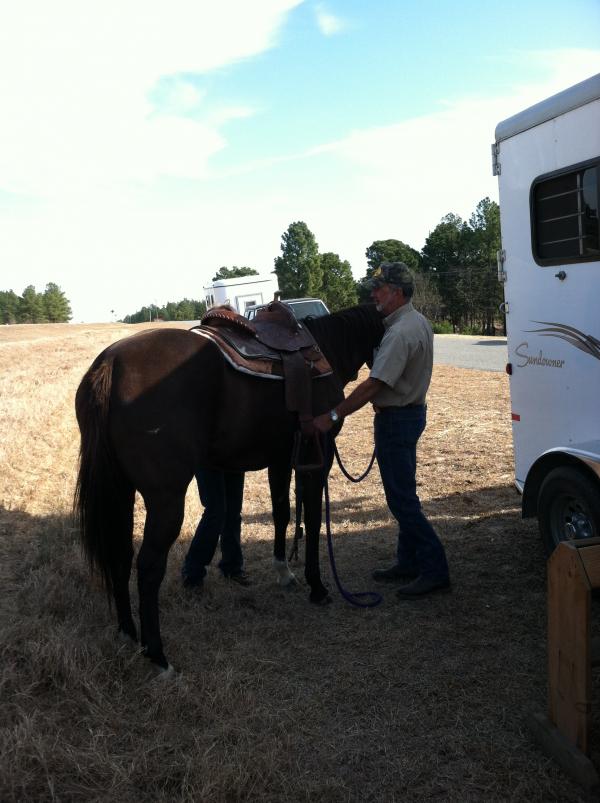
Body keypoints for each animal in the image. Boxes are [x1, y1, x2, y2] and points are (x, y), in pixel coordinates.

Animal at [75, 306, 384, 672]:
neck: (326, 349)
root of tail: (111, 363)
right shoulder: (316, 458)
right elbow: (311, 517)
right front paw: (318, 586)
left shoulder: (281, 459)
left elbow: (282, 512)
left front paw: (284, 571)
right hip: (165, 499)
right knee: (149, 567)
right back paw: (158, 656)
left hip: (120, 492)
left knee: (120, 555)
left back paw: (128, 633)